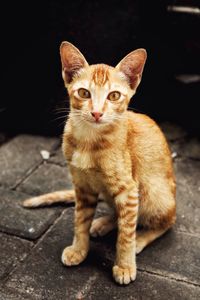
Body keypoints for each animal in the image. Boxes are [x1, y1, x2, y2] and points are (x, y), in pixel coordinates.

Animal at [23, 41, 176, 284]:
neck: (89, 140)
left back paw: (141, 239)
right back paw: (104, 223)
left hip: (153, 192)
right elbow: (80, 221)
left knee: (163, 222)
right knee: (122, 214)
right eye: (84, 93)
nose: (96, 113)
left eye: (114, 96)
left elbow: (126, 234)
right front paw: (79, 250)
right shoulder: (83, 186)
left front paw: (125, 265)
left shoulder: (128, 189)